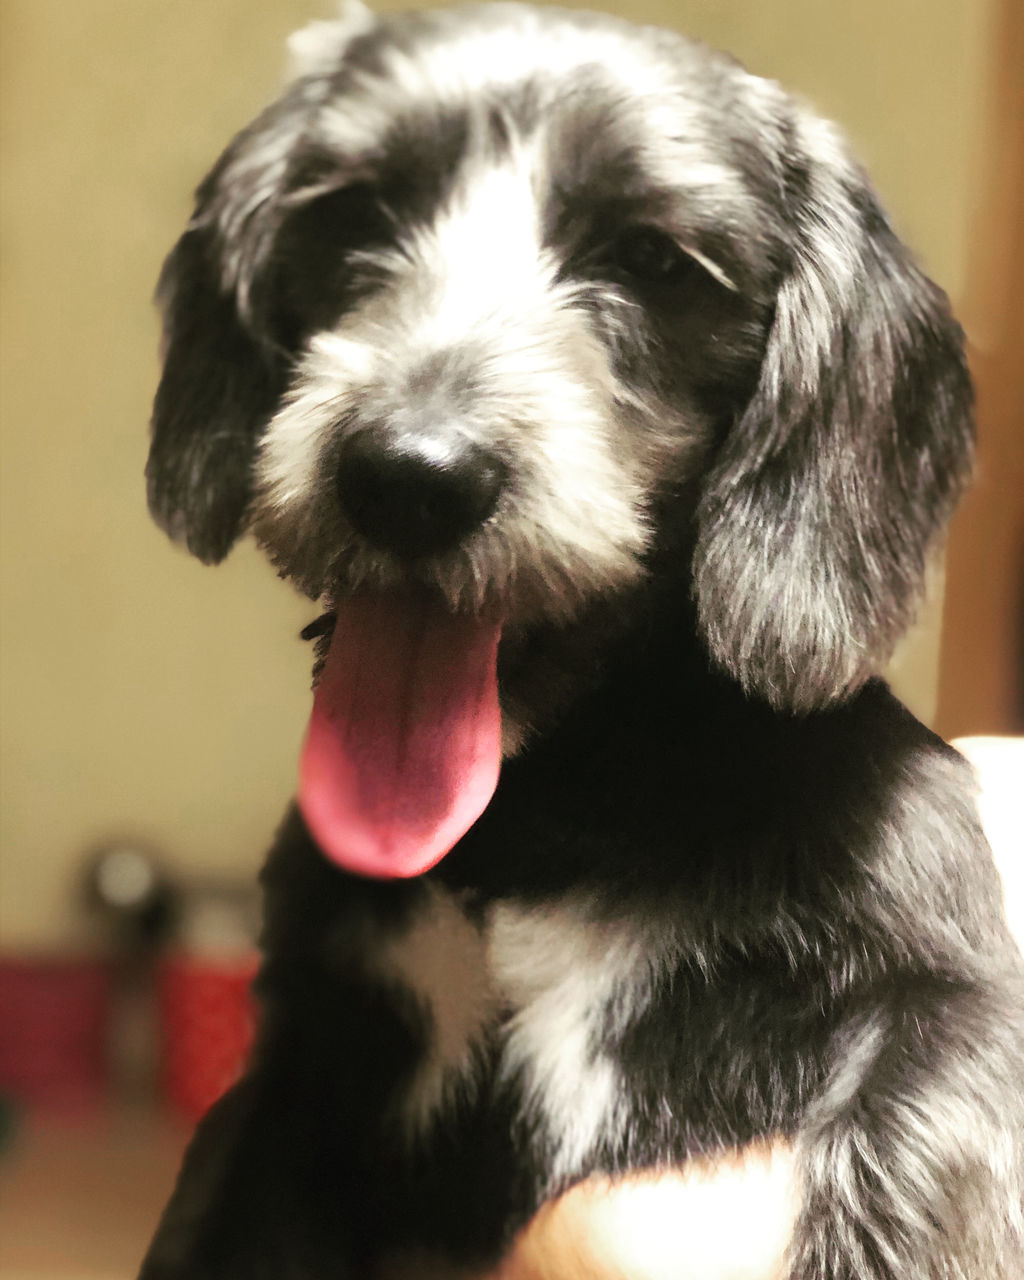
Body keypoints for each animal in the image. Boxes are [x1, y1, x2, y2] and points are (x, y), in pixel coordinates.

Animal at [138, 5, 1024, 1274]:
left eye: (653, 261)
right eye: (351, 212)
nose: (408, 477)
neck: (550, 805)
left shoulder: (943, 999)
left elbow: (918, 1171)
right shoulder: (301, 1075)